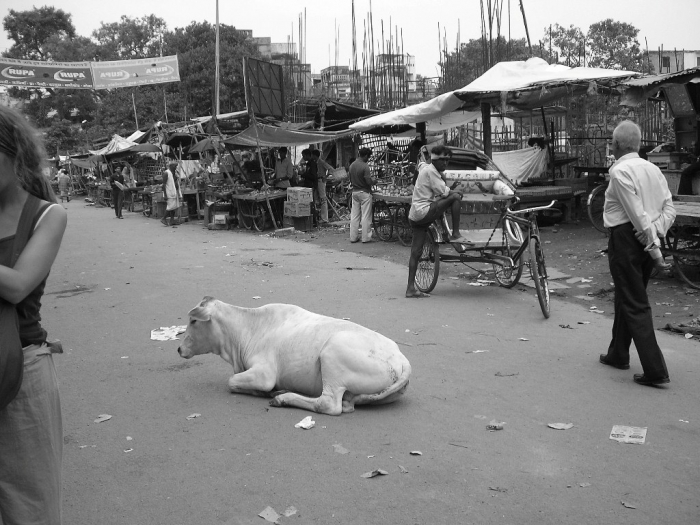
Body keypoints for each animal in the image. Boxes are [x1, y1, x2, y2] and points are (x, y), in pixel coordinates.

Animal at [178, 296, 412, 416]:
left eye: (193, 321)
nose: (179, 349)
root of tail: (401, 358)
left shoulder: (264, 374)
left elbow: (232, 381)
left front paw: (264, 392)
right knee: (346, 404)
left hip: (331, 355)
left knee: (327, 404)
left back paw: (282, 398)